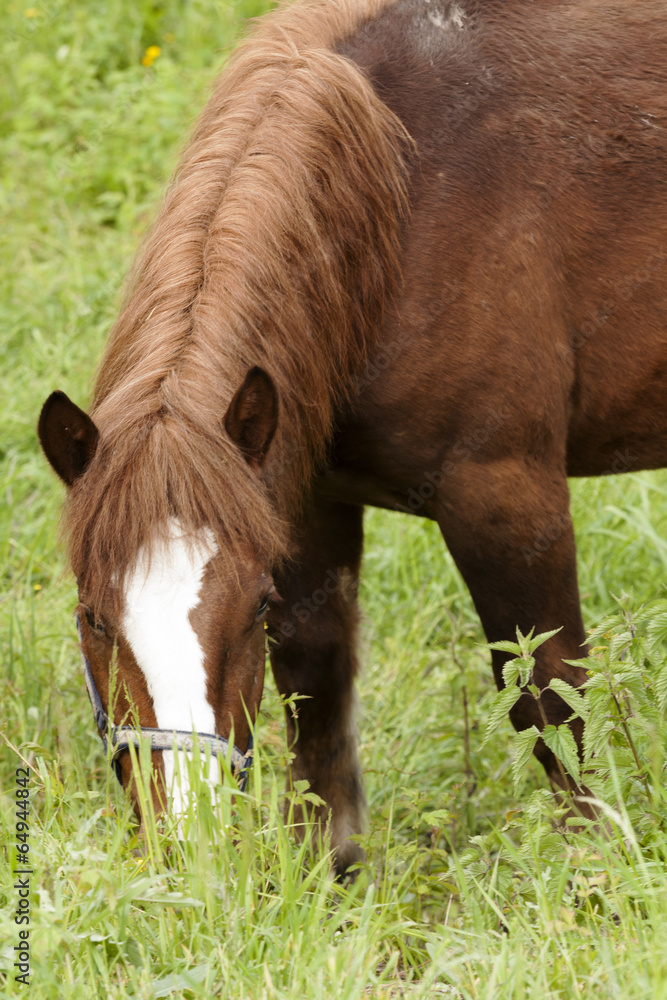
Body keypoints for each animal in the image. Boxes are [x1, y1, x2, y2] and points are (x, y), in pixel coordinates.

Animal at [38, 0, 667, 875]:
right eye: (94, 617)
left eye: (251, 604)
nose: (190, 842)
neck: (402, 205)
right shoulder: (302, 498)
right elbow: (317, 687)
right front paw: (326, 875)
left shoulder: (507, 497)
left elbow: (549, 698)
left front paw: (594, 875)